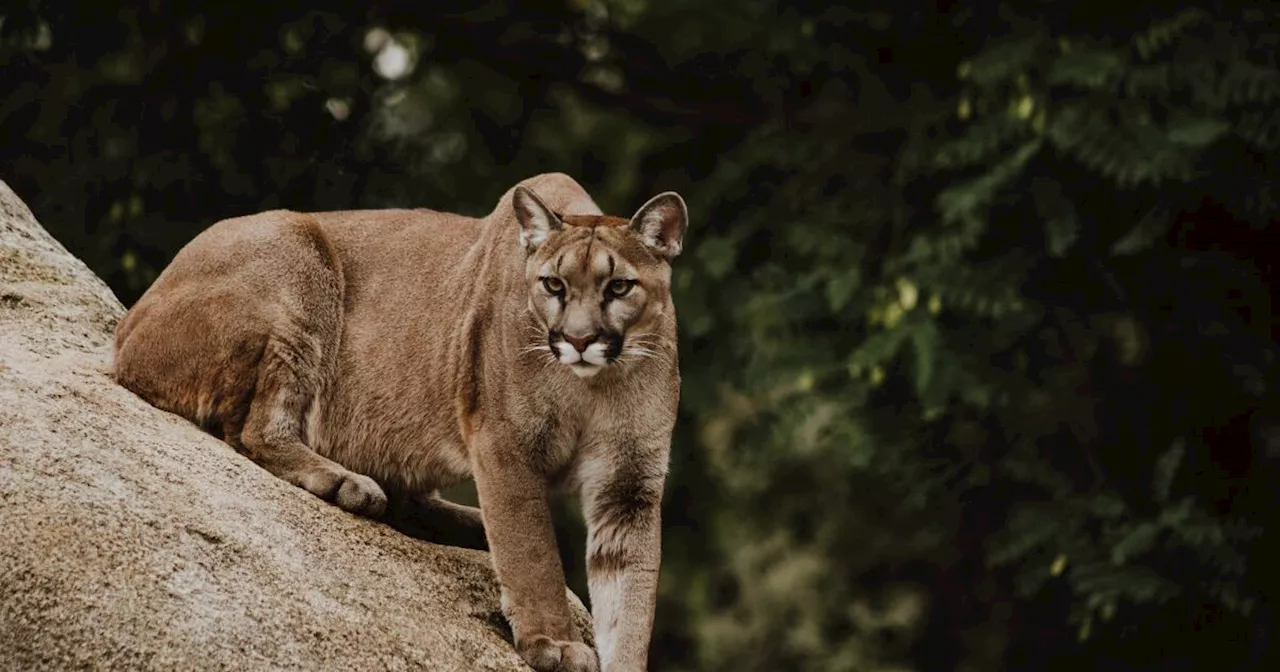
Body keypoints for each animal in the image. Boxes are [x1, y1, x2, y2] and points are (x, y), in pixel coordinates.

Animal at [115, 172, 686, 670]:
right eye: (552, 285)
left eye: (619, 287)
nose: (580, 339)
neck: (593, 386)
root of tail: (125, 332)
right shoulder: (505, 446)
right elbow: (533, 554)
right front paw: (556, 643)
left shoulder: (629, 486)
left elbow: (630, 601)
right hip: (297, 256)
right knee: (256, 430)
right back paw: (347, 484)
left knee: (408, 496)